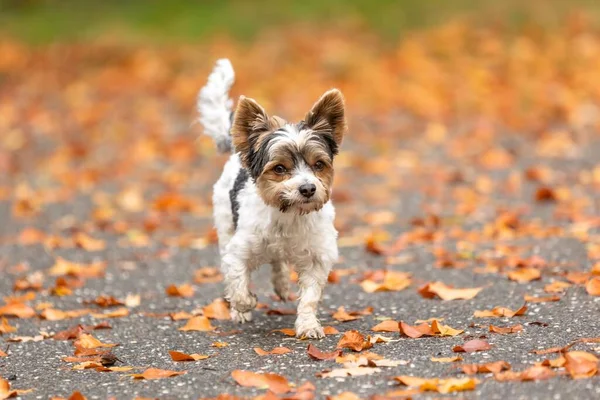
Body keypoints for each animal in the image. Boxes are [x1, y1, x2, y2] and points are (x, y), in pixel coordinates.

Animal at [197, 58, 346, 338]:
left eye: (318, 164)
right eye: (279, 168)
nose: (308, 188)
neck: (288, 213)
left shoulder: (317, 257)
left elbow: (309, 298)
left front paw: (308, 325)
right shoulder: (238, 251)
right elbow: (237, 282)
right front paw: (244, 306)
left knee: (278, 262)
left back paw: (282, 285)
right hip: (225, 226)